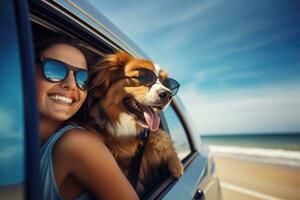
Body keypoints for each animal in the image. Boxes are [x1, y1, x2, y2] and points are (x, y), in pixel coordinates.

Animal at [84, 50, 183, 193]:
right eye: (143, 76)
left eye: (165, 83)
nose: (168, 95)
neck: (124, 128)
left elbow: (162, 137)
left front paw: (176, 165)